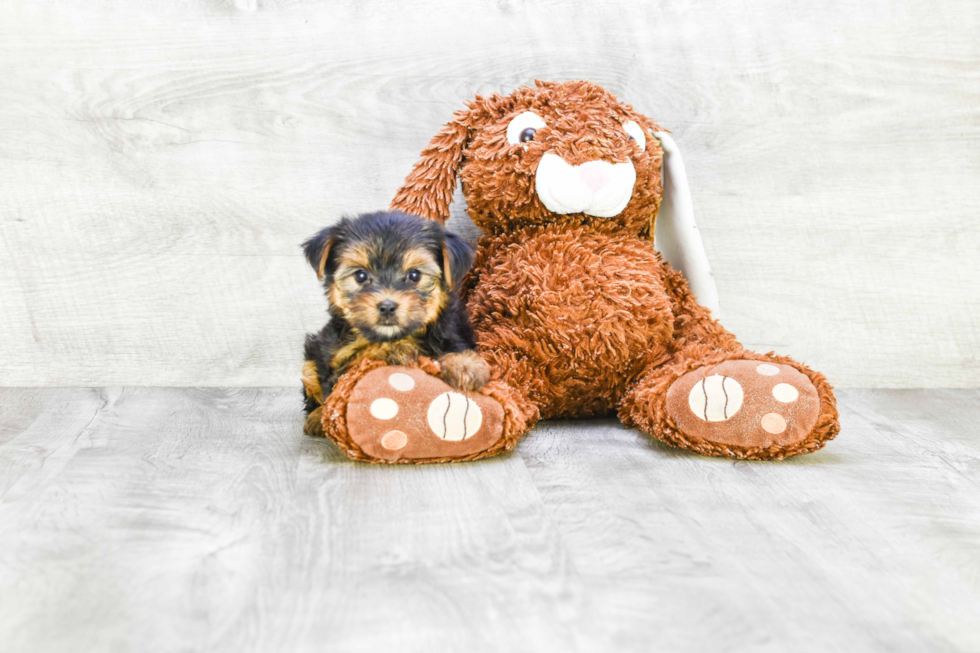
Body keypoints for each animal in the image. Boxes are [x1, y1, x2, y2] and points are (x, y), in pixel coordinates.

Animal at [300, 210, 488, 432]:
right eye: (360, 276)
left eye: (414, 275)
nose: (387, 306)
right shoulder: (337, 356)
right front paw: (393, 349)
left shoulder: (453, 330)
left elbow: (452, 346)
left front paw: (466, 365)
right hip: (311, 359)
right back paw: (316, 418)